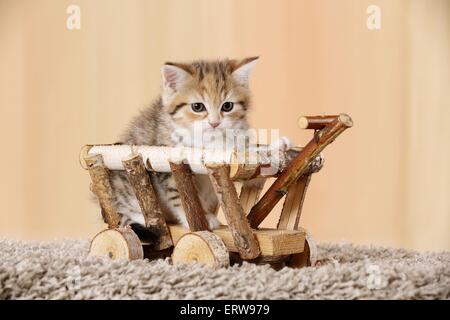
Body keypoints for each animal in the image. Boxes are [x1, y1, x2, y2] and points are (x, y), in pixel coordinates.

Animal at [107, 57, 290, 240]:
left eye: (227, 106)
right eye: (197, 107)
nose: (214, 123)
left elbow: (246, 164)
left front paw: (276, 147)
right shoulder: (166, 165)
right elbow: (180, 193)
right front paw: (198, 220)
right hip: (124, 186)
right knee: (124, 213)